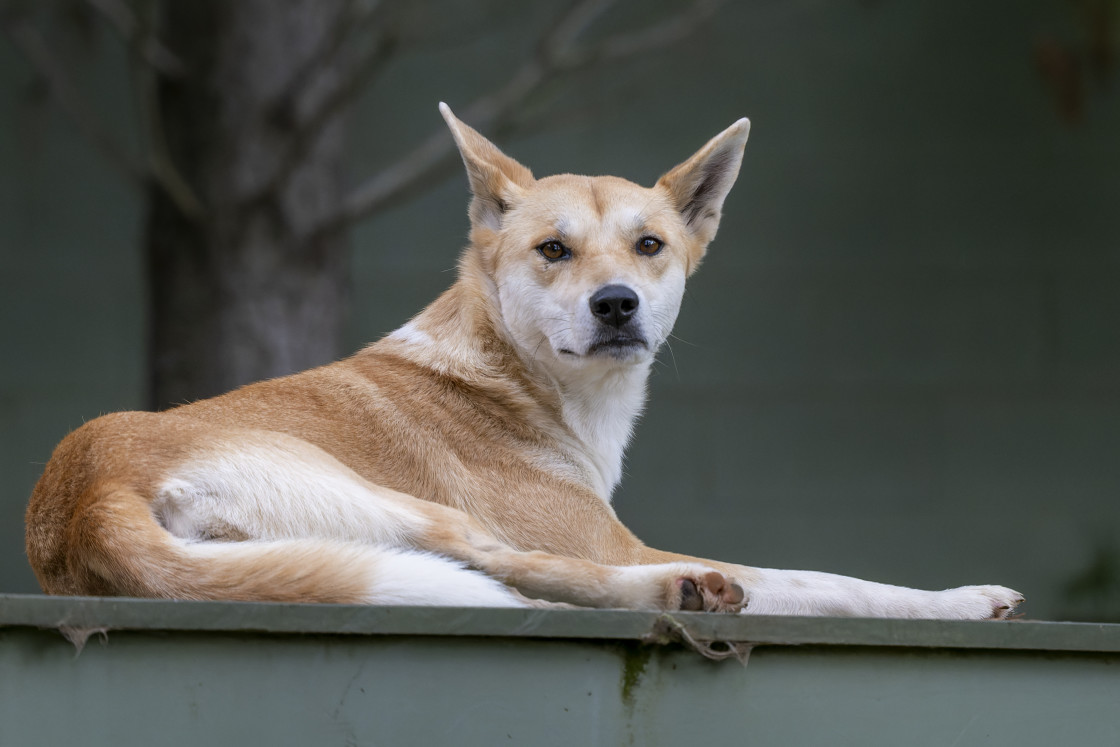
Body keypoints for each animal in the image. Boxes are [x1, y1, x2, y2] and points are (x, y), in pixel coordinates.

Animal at [24, 105, 1025, 618]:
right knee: (535, 575)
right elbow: (831, 581)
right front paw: (963, 599)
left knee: (508, 579)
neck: (518, 376)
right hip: (421, 511)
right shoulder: (610, 538)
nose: (616, 303)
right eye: (553, 249)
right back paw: (680, 587)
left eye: (650, 246)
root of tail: (85, 501)